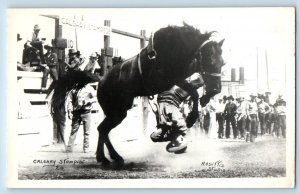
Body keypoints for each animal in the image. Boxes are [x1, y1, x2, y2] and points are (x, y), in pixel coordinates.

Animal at [49, 22, 225, 165]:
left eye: (223, 63)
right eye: (209, 59)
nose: (217, 89)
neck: (173, 49)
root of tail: (101, 80)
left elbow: (193, 92)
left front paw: (199, 105)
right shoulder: (167, 79)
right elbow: (193, 91)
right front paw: (191, 117)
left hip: (118, 112)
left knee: (103, 130)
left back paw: (110, 157)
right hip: (116, 112)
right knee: (103, 129)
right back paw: (107, 158)